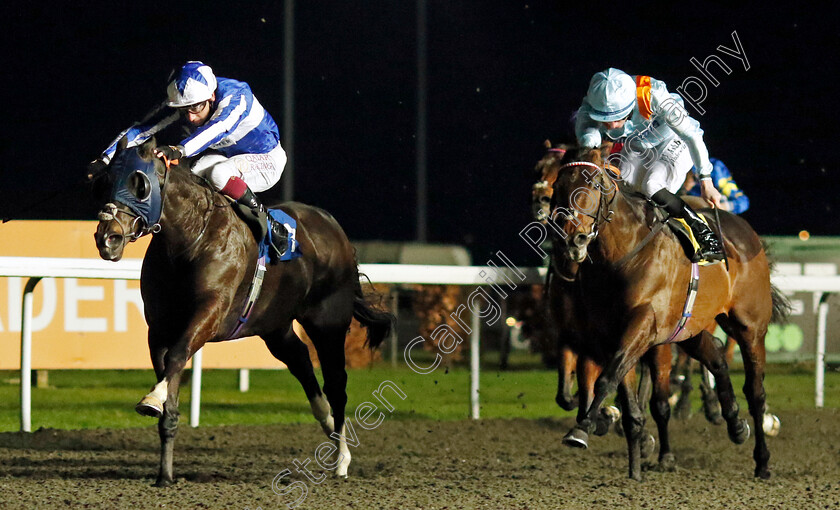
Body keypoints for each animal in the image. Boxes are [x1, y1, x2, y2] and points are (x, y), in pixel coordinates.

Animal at [92, 138, 394, 486]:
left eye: (139, 184)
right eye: (105, 181)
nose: (107, 237)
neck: (187, 242)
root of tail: (333, 227)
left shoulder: (210, 313)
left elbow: (179, 355)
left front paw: (152, 399)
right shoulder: (159, 329)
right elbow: (169, 380)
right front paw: (164, 473)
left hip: (327, 323)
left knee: (336, 384)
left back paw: (341, 459)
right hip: (275, 326)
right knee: (301, 361)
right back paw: (329, 428)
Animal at [544, 145, 788, 480]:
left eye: (592, 184)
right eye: (557, 187)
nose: (571, 239)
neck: (622, 255)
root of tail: (746, 232)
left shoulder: (643, 325)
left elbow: (608, 378)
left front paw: (582, 430)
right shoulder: (606, 334)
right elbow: (622, 392)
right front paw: (634, 465)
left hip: (750, 328)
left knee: (755, 392)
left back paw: (762, 461)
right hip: (689, 328)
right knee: (716, 356)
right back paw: (735, 424)